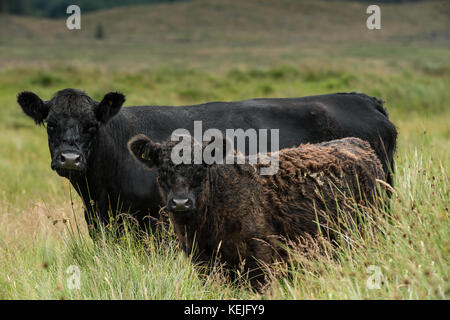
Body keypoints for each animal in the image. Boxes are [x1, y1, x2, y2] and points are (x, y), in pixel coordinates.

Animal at [128, 135, 384, 288]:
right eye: (162, 170)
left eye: (200, 168)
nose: (181, 202)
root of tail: (355, 143)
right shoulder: (202, 262)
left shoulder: (261, 258)